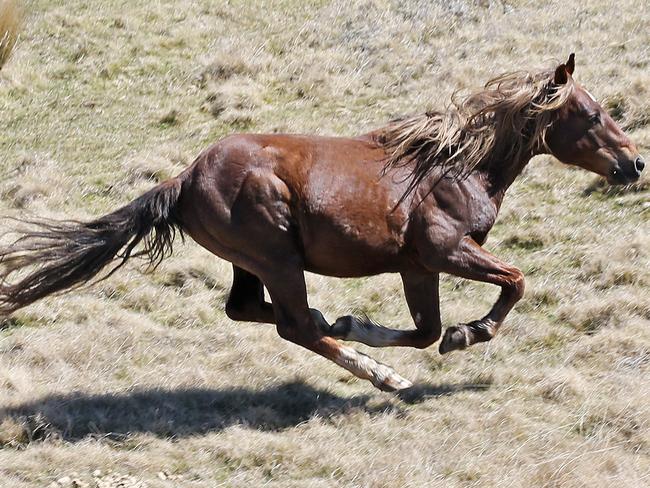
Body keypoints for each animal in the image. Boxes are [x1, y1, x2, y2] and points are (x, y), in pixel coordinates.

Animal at [0, 55, 640, 390]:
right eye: (592, 114)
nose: (634, 164)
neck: (457, 165)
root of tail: (182, 179)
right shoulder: (445, 250)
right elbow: (514, 281)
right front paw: (469, 333)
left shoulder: (417, 267)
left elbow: (426, 328)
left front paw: (370, 325)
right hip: (278, 257)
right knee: (295, 326)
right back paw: (382, 375)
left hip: (253, 263)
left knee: (256, 312)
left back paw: (351, 337)